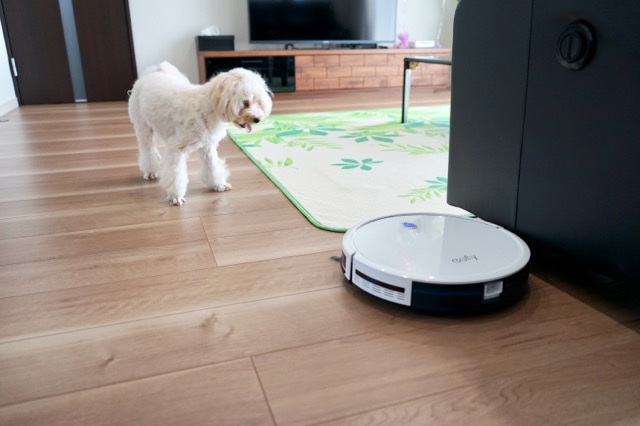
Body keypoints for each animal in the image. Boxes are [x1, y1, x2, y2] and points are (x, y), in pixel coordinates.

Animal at [128, 62, 272, 205]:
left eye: (258, 102)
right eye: (245, 103)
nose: (258, 119)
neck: (209, 107)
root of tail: (154, 71)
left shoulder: (208, 146)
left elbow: (212, 166)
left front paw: (218, 185)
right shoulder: (176, 148)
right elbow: (175, 174)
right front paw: (175, 196)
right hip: (143, 127)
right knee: (148, 150)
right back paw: (151, 171)